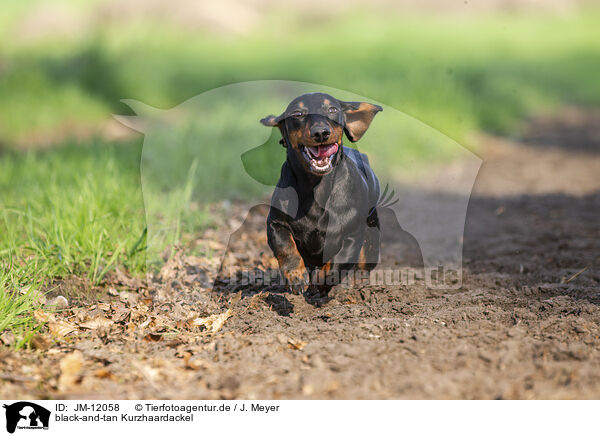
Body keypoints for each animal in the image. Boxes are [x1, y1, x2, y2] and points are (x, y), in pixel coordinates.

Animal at [260, 93, 382, 294]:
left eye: (332, 109)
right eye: (297, 113)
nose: (320, 133)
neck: (316, 187)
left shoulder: (352, 233)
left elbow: (340, 261)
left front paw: (324, 279)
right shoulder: (276, 223)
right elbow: (286, 247)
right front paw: (296, 276)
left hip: (371, 238)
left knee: (362, 266)